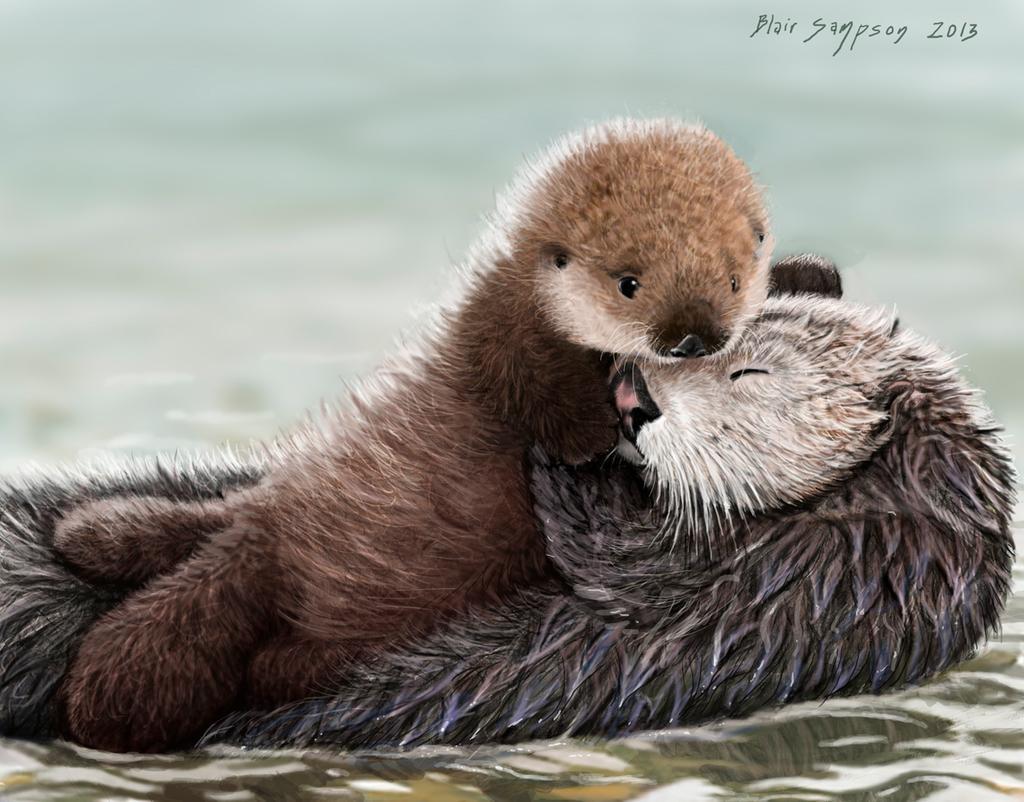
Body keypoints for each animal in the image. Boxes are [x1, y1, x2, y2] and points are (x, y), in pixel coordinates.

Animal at [47, 119, 781, 753]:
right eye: (628, 283)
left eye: (734, 278)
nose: (693, 338)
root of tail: (258, 536)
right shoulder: (504, 332)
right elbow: (537, 393)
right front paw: (591, 433)